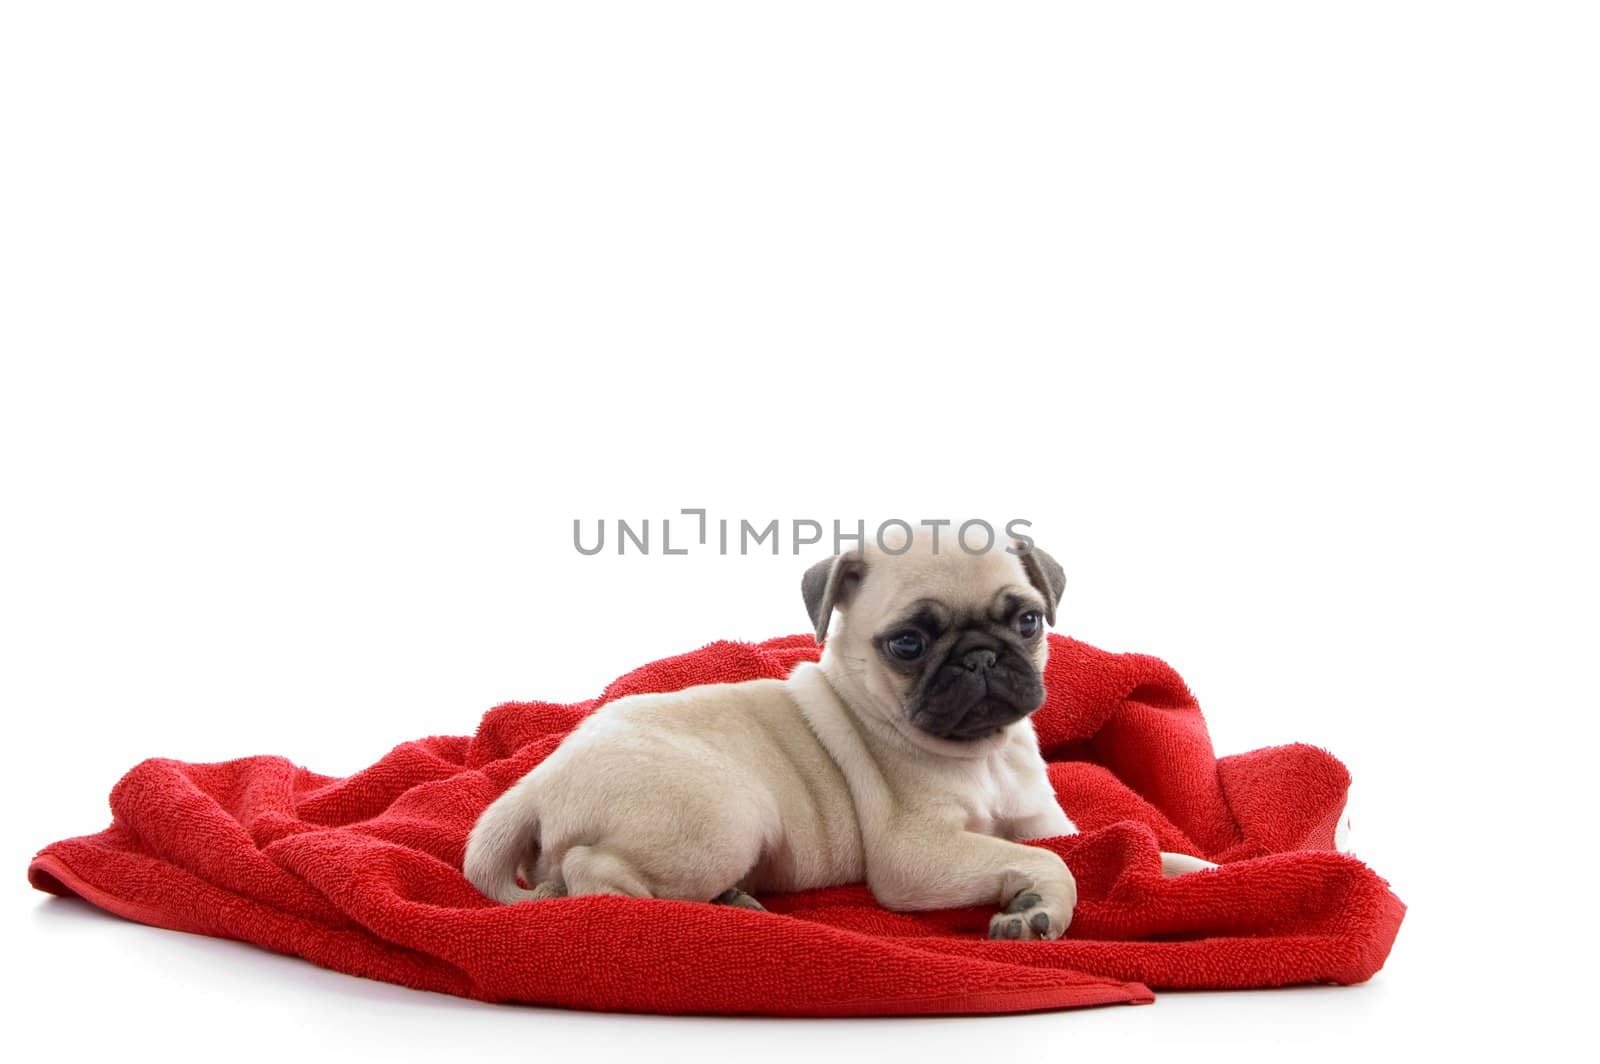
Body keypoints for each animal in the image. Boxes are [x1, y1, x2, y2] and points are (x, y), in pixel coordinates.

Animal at [467, 531, 1203, 940]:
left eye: (1026, 621)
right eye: (908, 644)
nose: (979, 658)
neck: (985, 755)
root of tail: (536, 780)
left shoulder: (1044, 823)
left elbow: (1133, 845)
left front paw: (1193, 870)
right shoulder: (917, 855)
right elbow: (1060, 866)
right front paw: (1034, 908)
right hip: (728, 816)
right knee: (589, 874)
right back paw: (709, 910)